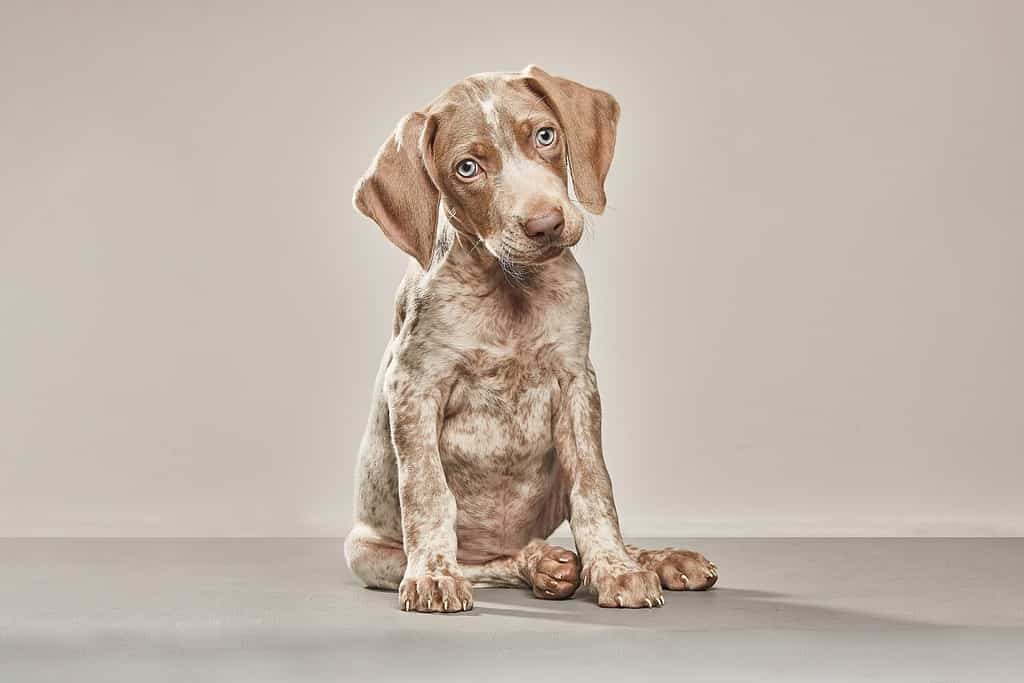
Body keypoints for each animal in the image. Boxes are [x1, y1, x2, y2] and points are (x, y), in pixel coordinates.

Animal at [344, 65, 712, 614]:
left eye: (545, 136)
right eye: (468, 168)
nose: (546, 224)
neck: (509, 287)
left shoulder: (578, 382)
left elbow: (596, 489)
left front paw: (616, 568)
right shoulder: (412, 387)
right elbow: (427, 491)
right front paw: (432, 576)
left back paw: (657, 559)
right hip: (365, 552)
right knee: (485, 564)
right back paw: (536, 565)